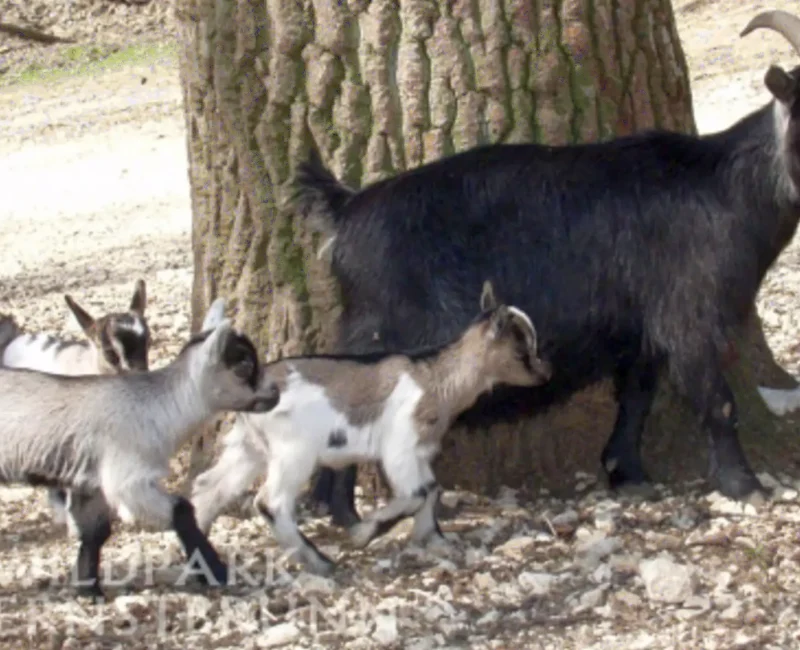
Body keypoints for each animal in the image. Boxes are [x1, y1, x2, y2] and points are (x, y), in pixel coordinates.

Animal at [190, 281, 552, 575]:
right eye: (522, 349)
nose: (546, 372)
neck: (435, 378)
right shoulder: (400, 446)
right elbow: (418, 494)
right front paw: (364, 533)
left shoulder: (420, 450)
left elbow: (432, 489)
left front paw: (434, 540)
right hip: (293, 451)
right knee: (271, 502)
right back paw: (319, 562)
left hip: (249, 447)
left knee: (209, 487)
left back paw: (199, 561)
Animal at [289, 10, 800, 527]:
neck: (722, 186)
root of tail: (347, 210)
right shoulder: (689, 314)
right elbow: (717, 401)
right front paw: (745, 486)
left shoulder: (639, 327)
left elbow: (636, 396)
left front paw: (628, 473)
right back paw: (346, 513)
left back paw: (330, 506)